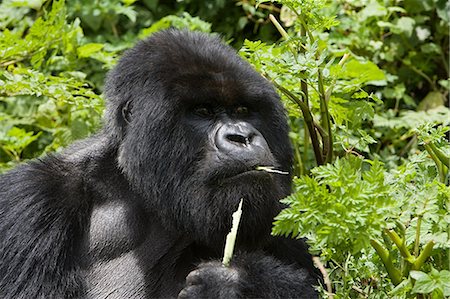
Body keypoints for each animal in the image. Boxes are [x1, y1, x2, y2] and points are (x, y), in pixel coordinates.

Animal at [0, 29, 316, 298]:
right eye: (203, 111)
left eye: (243, 110)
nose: (242, 137)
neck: (134, 190)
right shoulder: (31, 201)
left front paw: (235, 284)